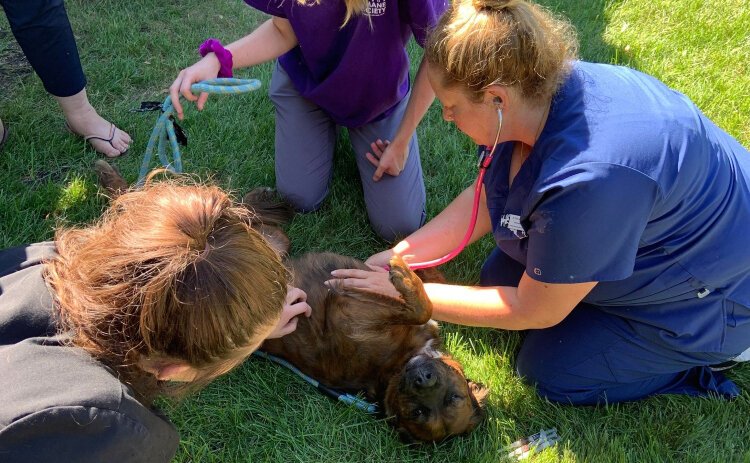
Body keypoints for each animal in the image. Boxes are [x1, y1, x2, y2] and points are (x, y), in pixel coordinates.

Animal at [241, 188, 488, 442]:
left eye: (418, 412)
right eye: (454, 396)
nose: (422, 378)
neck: (400, 363)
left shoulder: (345, 314)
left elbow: (422, 309)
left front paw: (405, 277)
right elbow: (432, 291)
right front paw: (407, 260)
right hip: (277, 242)